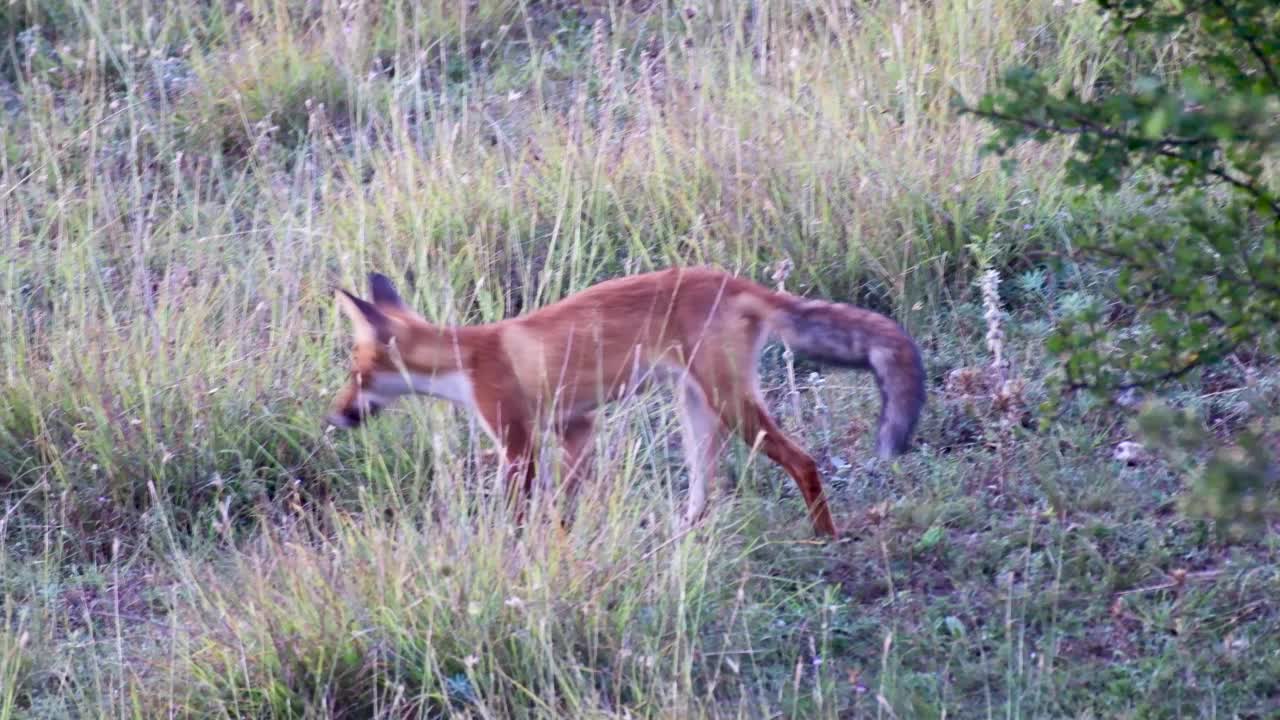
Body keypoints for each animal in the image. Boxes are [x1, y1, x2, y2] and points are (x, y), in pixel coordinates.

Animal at [327, 266, 931, 535]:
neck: (467, 358)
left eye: (356, 374)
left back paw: (825, 537)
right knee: (705, 489)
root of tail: (736, 281)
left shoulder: (517, 442)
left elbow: (519, 510)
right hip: (697, 412)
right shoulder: (576, 425)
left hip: (733, 408)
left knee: (804, 462)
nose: (333, 416)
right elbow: (564, 500)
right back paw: (684, 535)